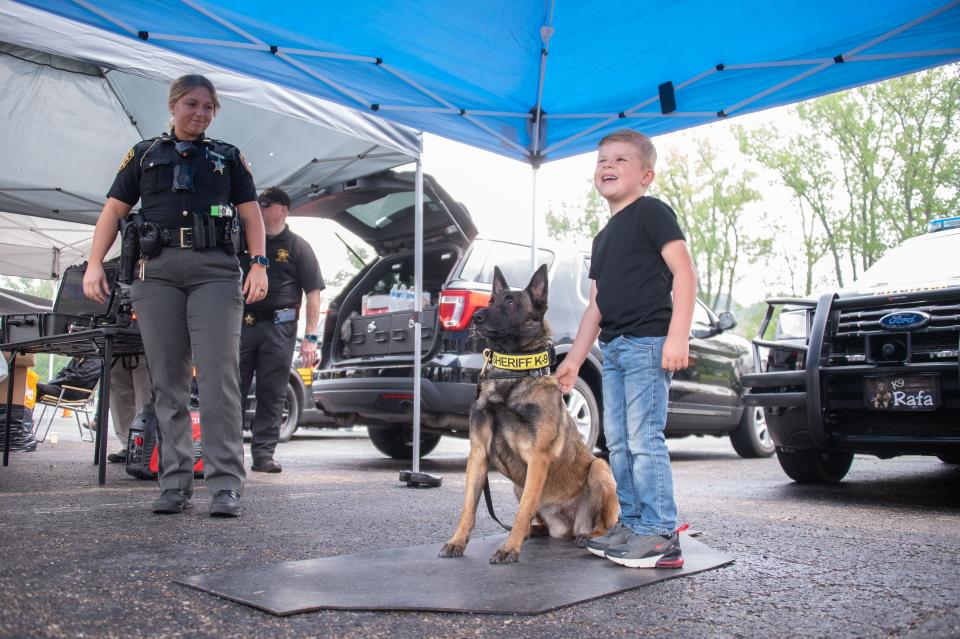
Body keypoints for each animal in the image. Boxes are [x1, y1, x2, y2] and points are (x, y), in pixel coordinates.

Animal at [440, 264, 620, 564]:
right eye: (491, 301)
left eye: (511, 303)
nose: (477, 316)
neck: (512, 373)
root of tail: (570, 525)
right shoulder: (478, 453)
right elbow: (469, 506)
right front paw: (457, 541)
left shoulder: (538, 457)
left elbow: (523, 509)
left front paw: (510, 549)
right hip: (518, 485)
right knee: (543, 524)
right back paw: (532, 531)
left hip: (600, 469)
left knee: (606, 524)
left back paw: (590, 537)